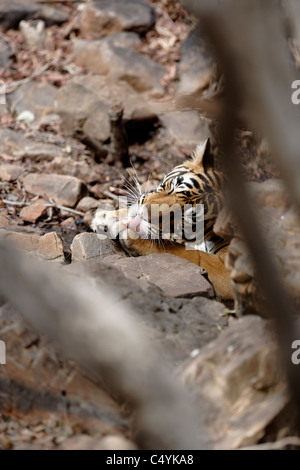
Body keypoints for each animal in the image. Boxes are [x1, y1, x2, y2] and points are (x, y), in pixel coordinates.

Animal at [92, 140, 233, 300]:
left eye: (184, 218)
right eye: (173, 187)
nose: (145, 214)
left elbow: (185, 253)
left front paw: (131, 235)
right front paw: (105, 217)